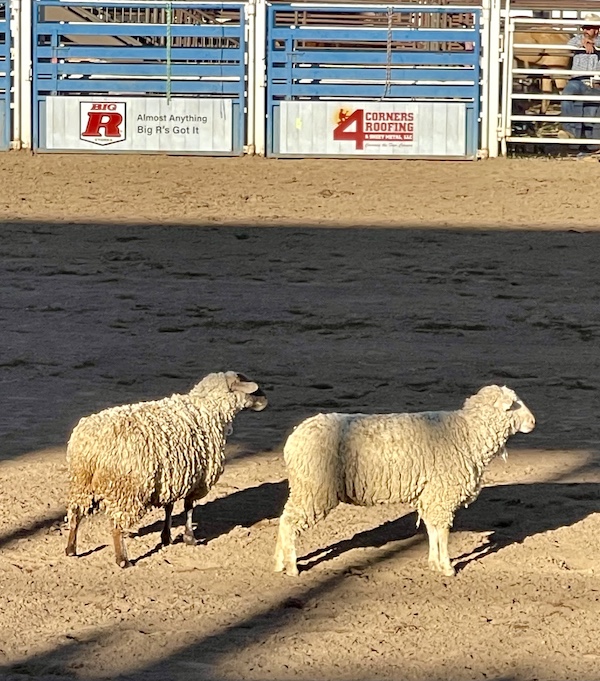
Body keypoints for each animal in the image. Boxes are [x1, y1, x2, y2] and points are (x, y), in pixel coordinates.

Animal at [65, 370, 268, 564]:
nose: (265, 400)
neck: (207, 409)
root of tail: (92, 446)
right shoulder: (198, 479)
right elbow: (188, 507)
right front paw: (189, 538)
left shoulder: (173, 476)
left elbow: (169, 508)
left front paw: (166, 537)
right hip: (126, 490)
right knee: (116, 526)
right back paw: (123, 560)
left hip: (81, 483)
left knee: (75, 515)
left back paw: (71, 549)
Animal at [276, 386, 536, 576]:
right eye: (514, 404)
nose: (533, 421)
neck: (467, 433)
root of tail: (294, 437)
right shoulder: (443, 494)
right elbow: (443, 532)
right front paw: (447, 567)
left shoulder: (431, 495)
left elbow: (433, 531)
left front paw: (434, 563)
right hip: (313, 488)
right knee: (289, 522)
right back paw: (291, 567)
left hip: (306, 487)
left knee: (284, 520)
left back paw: (279, 563)